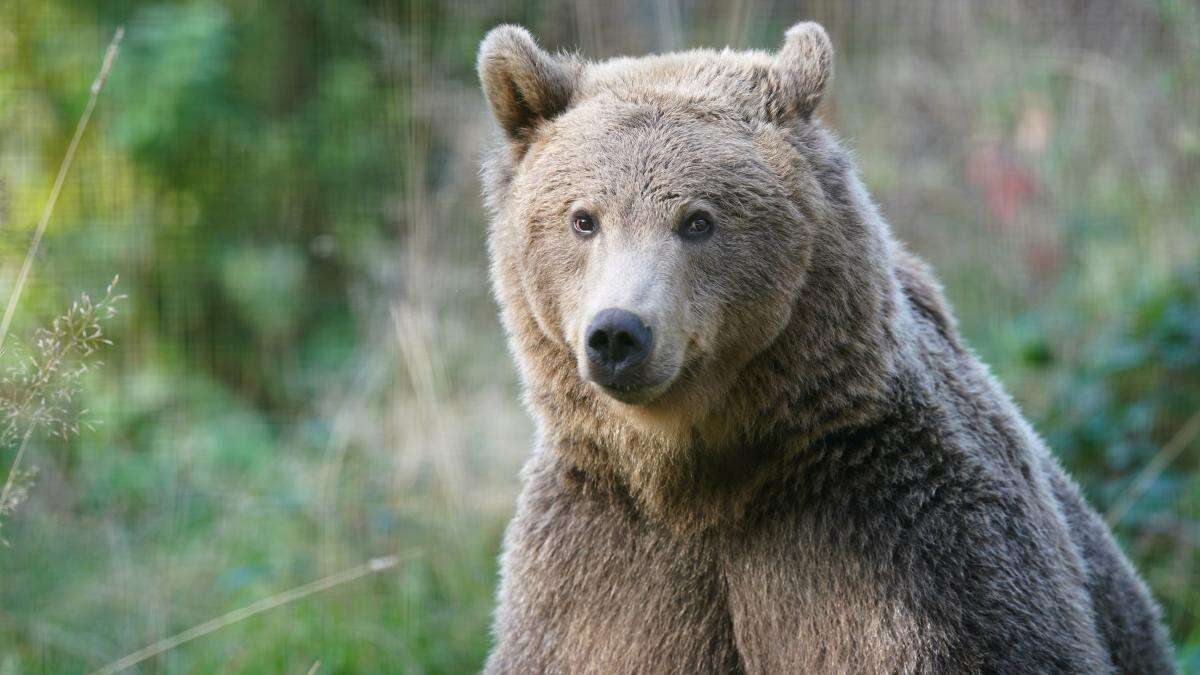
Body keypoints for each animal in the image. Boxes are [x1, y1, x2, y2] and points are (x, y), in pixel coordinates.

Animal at [475, 21, 1171, 672]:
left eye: (698, 220)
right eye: (583, 218)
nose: (619, 333)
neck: (696, 481)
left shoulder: (891, 538)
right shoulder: (602, 563)